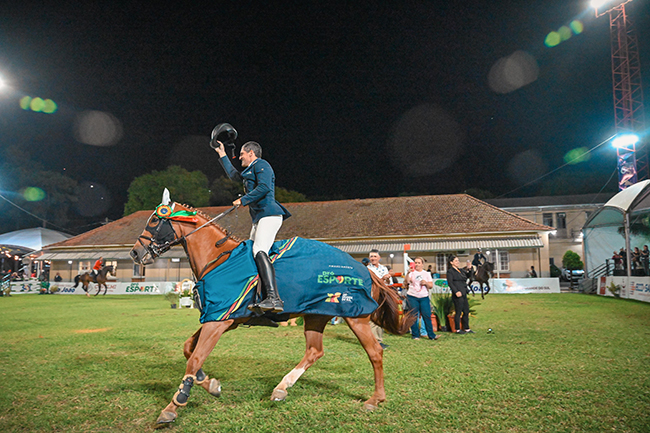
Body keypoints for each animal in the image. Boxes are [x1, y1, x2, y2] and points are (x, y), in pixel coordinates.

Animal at [130, 192, 416, 426]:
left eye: (154, 221)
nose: (135, 254)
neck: (218, 259)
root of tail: (366, 270)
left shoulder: (219, 321)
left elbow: (195, 357)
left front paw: (173, 406)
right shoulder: (221, 318)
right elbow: (189, 349)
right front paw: (210, 383)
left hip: (356, 317)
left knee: (375, 353)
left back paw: (375, 399)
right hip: (316, 314)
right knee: (314, 351)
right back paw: (281, 388)